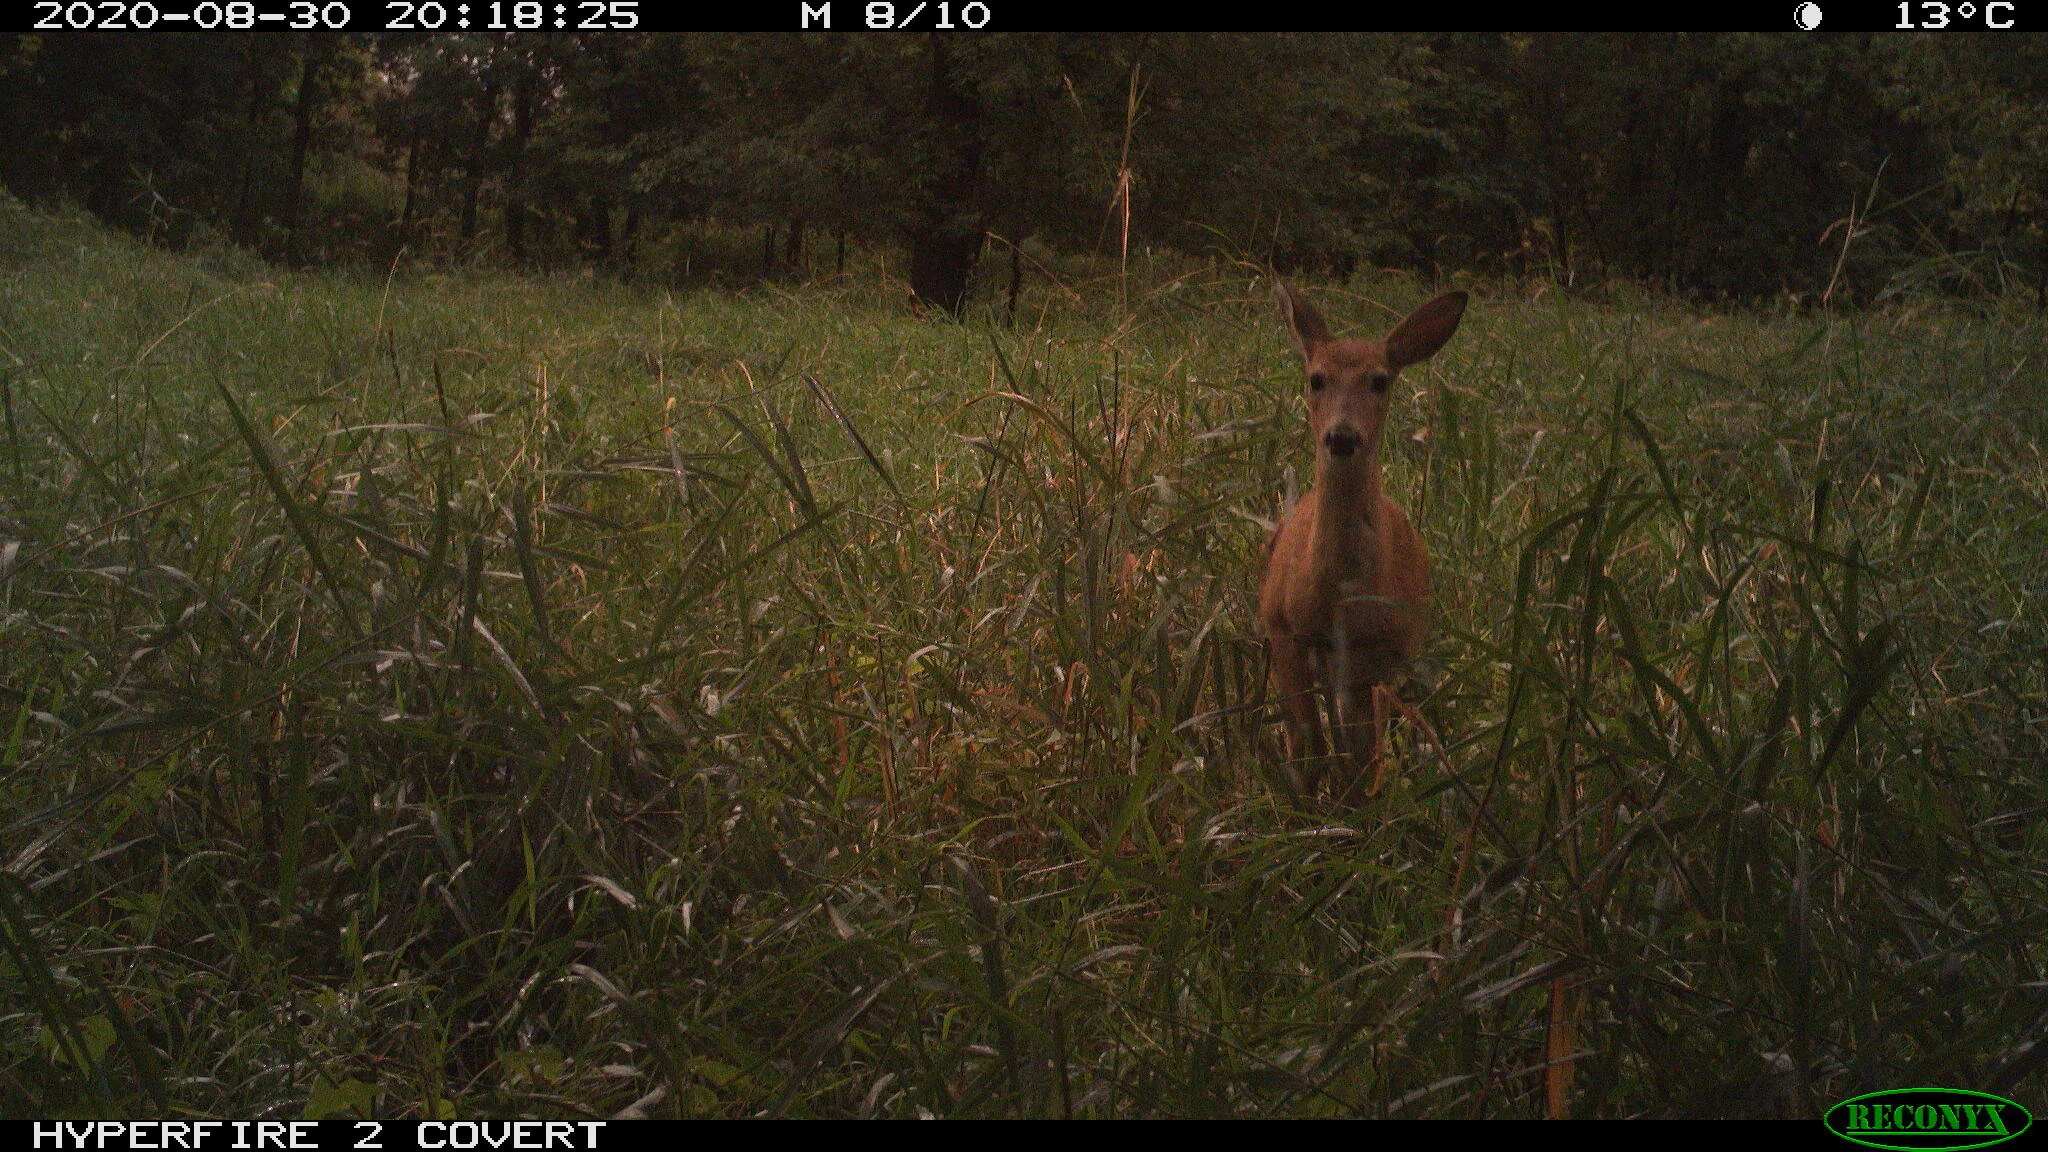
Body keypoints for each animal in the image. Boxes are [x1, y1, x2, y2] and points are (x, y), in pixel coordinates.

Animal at [1259, 280, 1467, 801]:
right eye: (1316, 378)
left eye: (1379, 380)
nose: (1342, 436)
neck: (1340, 590)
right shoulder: (1283, 628)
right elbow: (1307, 744)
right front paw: (1304, 806)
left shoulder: (1382, 648)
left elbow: (1362, 757)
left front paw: (1354, 809)